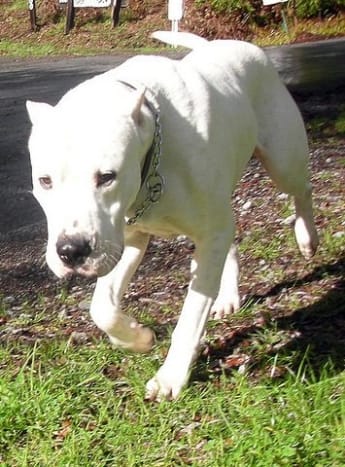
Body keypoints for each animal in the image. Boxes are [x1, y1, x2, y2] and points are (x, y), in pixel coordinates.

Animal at [26, 31, 318, 400]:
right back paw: (227, 296)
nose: (71, 250)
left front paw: (171, 376)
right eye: (45, 181)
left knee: (301, 189)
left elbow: (191, 314)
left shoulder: (190, 234)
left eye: (107, 177)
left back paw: (308, 238)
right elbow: (102, 307)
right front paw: (137, 337)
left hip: (282, 160)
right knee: (230, 236)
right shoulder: (127, 239)